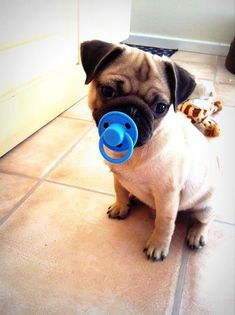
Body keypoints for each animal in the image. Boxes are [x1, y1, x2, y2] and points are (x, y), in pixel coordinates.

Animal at [80, 39, 218, 262]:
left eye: (161, 107)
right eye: (108, 91)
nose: (132, 110)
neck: (136, 151)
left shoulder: (167, 196)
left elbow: (164, 222)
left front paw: (158, 245)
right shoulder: (117, 176)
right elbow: (120, 191)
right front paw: (121, 206)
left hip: (206, 206)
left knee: (205, 221)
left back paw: (197, 234)